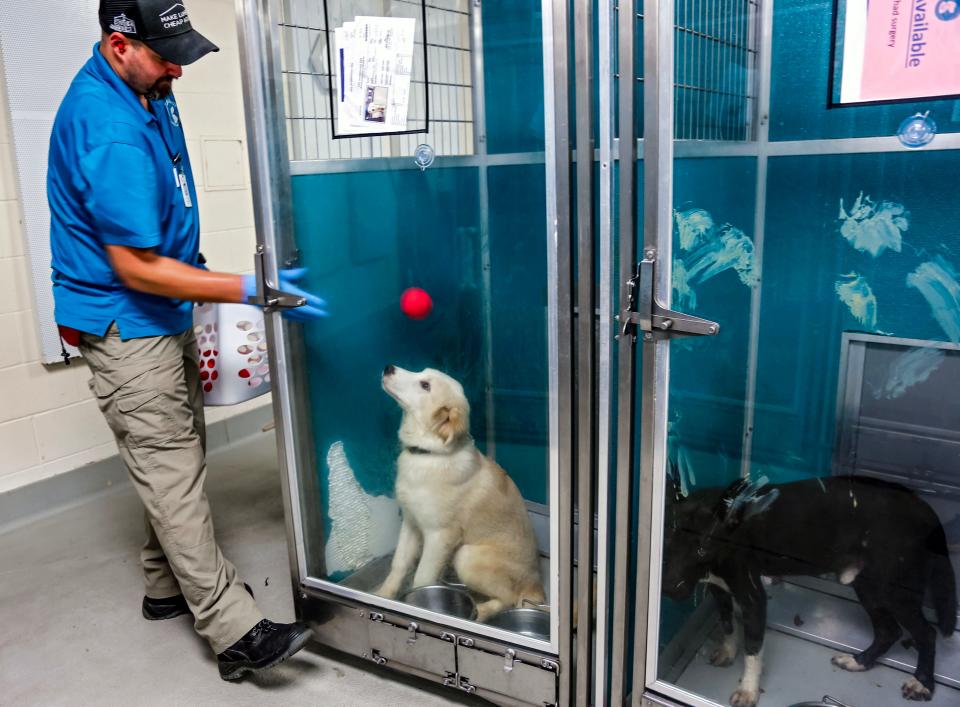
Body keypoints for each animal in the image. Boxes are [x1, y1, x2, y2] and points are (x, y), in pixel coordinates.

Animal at [376, 366, 548, 620]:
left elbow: (422, 578)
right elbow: (399, 564)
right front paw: (384, 595)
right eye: (421, 372)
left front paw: (419, 605)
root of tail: (535, 583)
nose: (388, 367)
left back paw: (482, 610)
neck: (429, 455)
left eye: (425, 385)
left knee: (508, 599)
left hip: (466, 556)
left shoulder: (439, 536)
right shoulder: (411, 522)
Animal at [664, 472, 956, 704]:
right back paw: (858, 662)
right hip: (869, 588)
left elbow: (753, 651)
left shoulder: (753, 599)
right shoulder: (719, 590)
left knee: (926, 633)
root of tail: (923, 506)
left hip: (895, 592)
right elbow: (727, 625)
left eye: (702, 548)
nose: (668, 589)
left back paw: (922, 683)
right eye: (666, 539)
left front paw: (748, 690)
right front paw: (728, 651)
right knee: (889, 631)